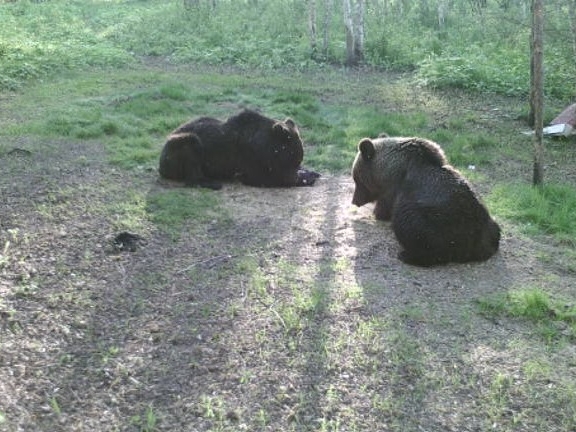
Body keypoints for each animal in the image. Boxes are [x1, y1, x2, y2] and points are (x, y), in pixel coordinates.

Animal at [158, 108, 320, 189]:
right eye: (294, 158)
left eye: (298, 160)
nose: (297, 166)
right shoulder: (256, 164)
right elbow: (275, 178)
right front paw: (306, 177)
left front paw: (310, 172)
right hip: (183, 143)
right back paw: (210, 183)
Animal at [352, 135, 500, 264]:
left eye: (356, 179)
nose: (354, 201)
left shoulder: (393, 190)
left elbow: (384, 209)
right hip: (487, 221)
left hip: (437, 221)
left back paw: (407, 255)